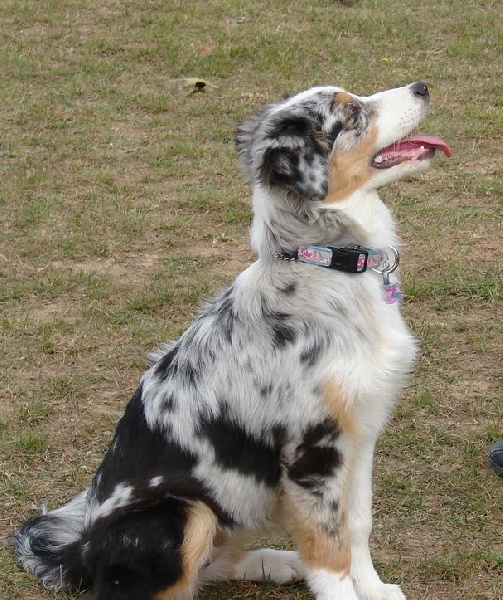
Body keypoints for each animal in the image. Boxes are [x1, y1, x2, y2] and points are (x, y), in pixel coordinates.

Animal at [14, 81, 450, 600]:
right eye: (352, 115)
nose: (421, 87)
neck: (326, 264)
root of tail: (79, 555)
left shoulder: (359, 432)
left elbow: (357, 525)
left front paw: (374, 587)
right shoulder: (309, 453)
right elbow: (329, 548)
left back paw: (278, 563)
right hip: (182, 513)